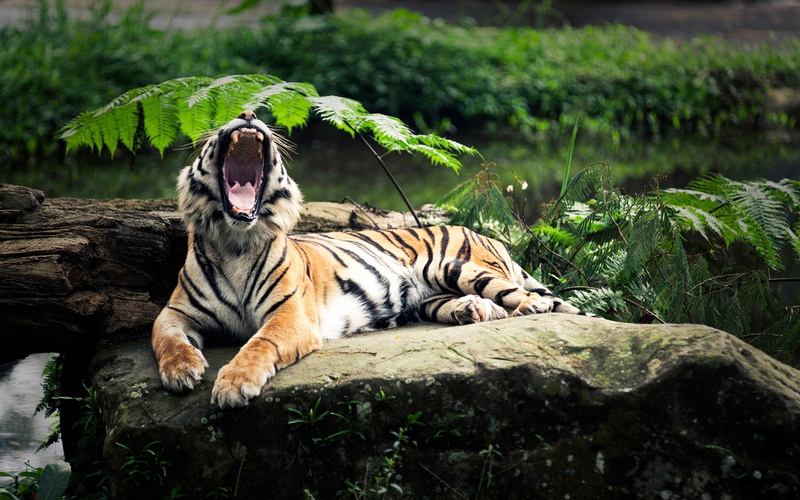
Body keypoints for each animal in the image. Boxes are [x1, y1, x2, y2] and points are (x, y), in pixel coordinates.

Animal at [152, 110, 594, 409]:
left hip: (451, 266)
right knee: (482, 304)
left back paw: (527, 306)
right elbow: (164, 337)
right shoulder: (177, 311)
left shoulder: (290, 314)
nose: (248, 114)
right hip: (430, 295)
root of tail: (485, 234)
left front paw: (232, 384)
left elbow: (260, 343)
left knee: (523, 295)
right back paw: (473, 311)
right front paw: (182, 370)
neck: (236, 240)